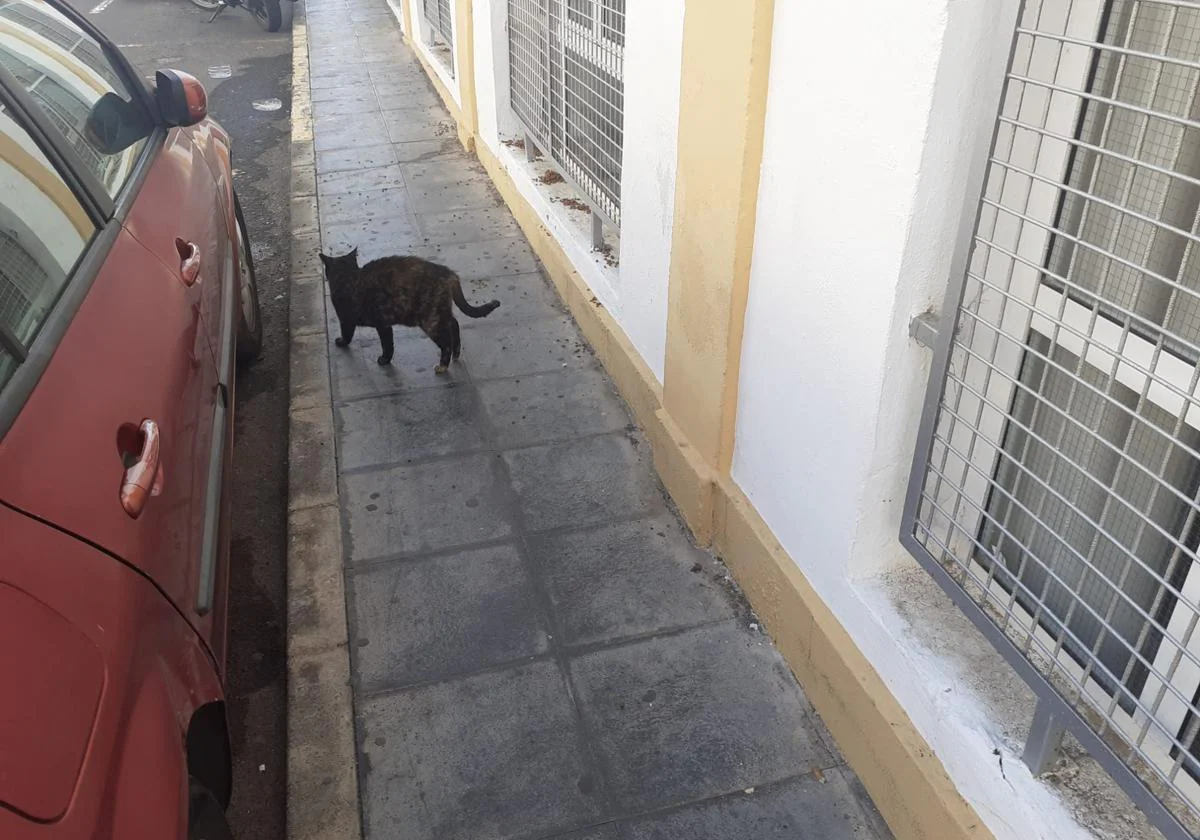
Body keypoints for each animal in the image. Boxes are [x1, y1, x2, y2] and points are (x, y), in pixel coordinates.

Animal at [316, 246, 499, 369]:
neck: (347, 276)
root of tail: (449, 273)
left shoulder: (363, 321)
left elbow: (382, 343)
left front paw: (382, 359)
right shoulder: (383, 323)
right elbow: (388, 343)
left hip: (430, 320)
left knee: (446, 342)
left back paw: (443, 366)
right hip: (441, 312)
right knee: (454, 324)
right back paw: (457, 353)